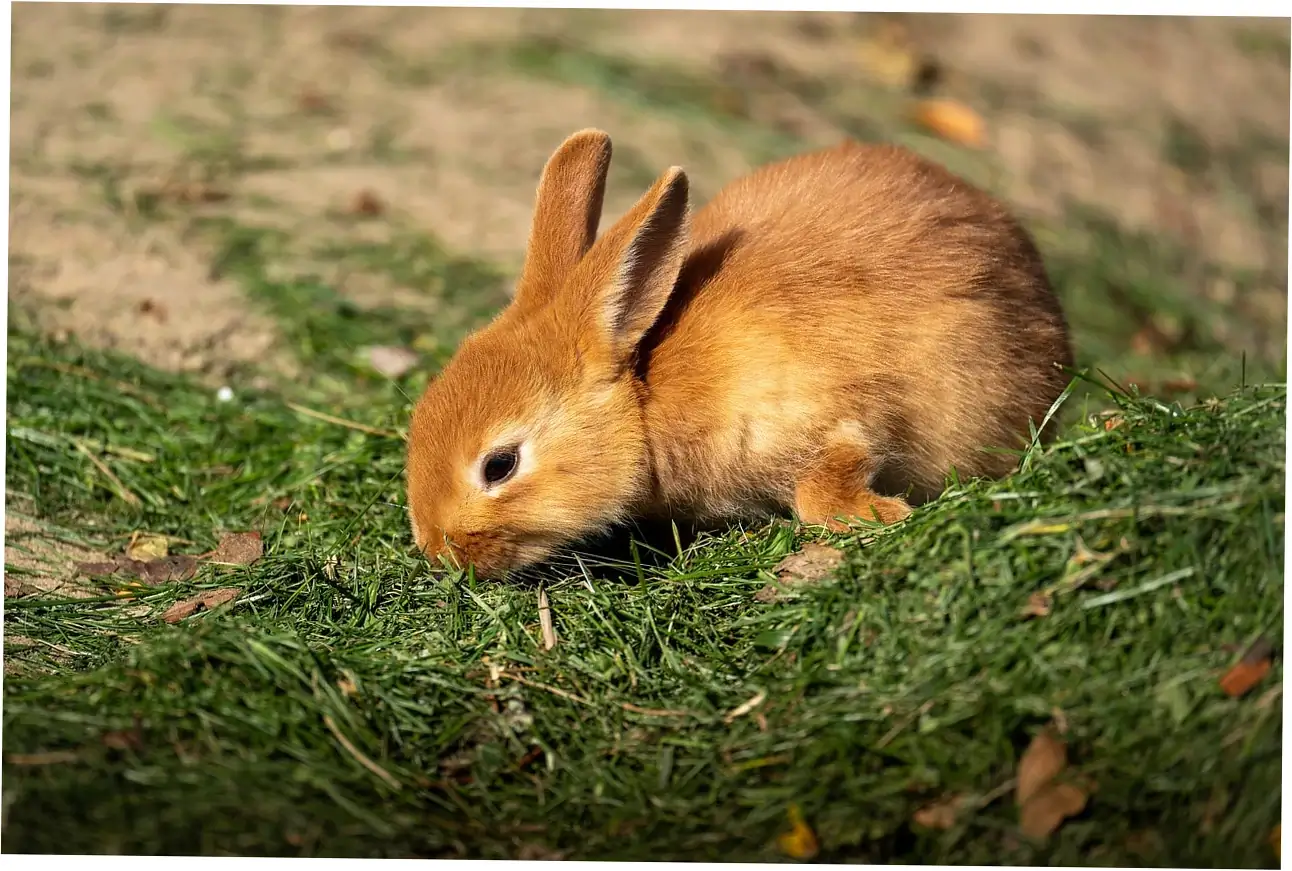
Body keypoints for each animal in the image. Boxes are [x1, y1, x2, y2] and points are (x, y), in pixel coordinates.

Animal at [406, 129, 1074, 579]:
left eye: (499, 466)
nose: (439, 551)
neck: (646, 399)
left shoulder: (831, 416)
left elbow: (825, 486)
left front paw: (885, 515)